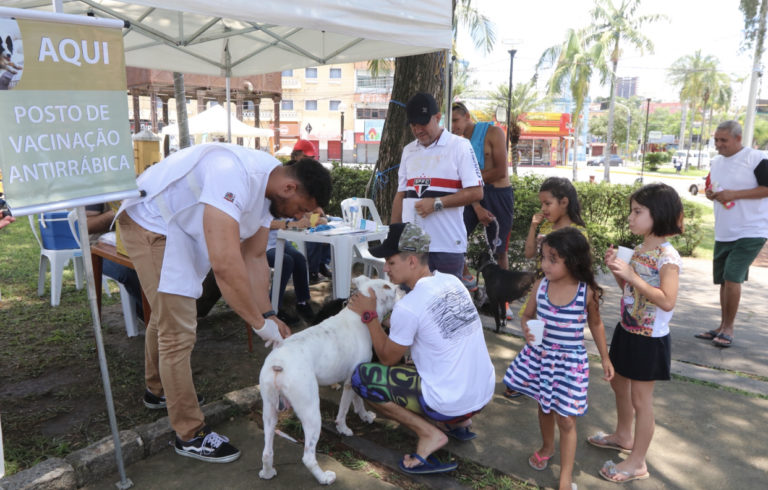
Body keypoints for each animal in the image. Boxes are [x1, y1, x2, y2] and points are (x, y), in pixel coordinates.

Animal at [260, 278, 402, 484]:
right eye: (392, 288)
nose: (404, 288)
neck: (359, 316)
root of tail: (278, 364)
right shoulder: (350, 382)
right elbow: (344, 409)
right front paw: (343, 428)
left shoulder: (356, 377)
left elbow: (358, 401)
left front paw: (365, 416)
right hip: (311, 413)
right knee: (308, 456)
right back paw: (324, 478)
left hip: (269, 410)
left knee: (267, 451)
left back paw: (267, 472)